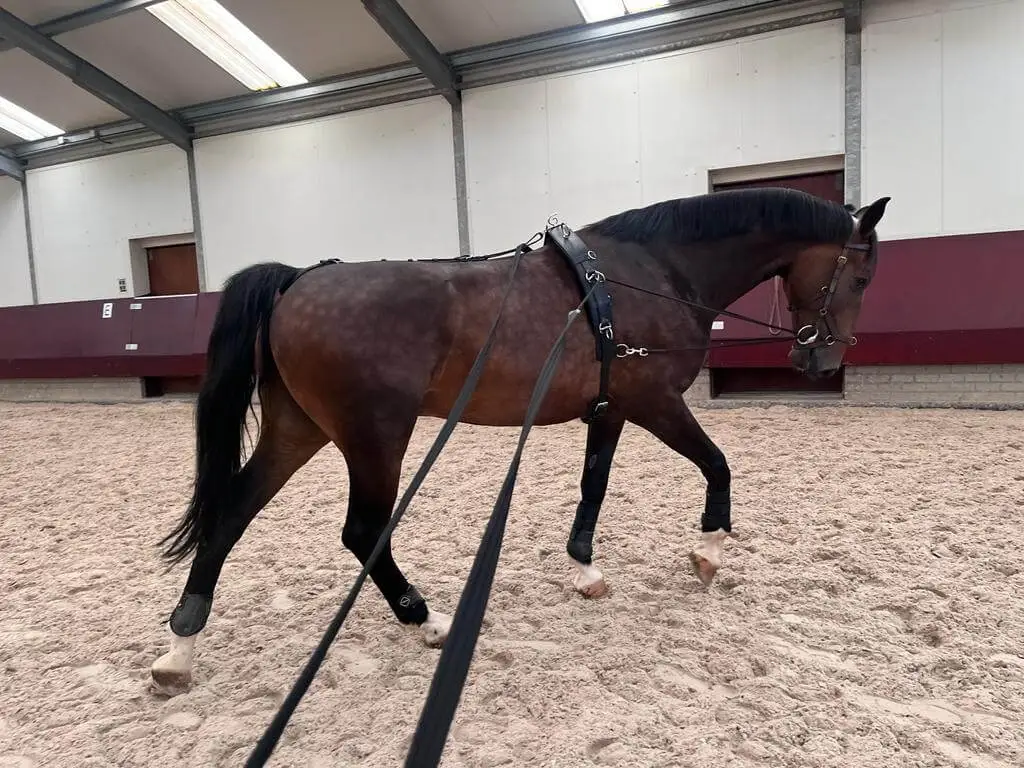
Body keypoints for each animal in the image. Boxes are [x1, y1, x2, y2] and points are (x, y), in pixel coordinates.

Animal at [149, 186, 890, 695]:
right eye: (859, 276)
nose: (822, 359)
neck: (649, 273)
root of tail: (298, 279)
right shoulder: (655, 402)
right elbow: (718, 465)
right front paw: (708, 551)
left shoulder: (609, 411)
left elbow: (595, 485)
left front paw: (585, 569)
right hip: (375, 437)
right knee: (362, 530)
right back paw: (426, 619)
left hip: (298, 428)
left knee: (231, 513)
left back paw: (181, 646)